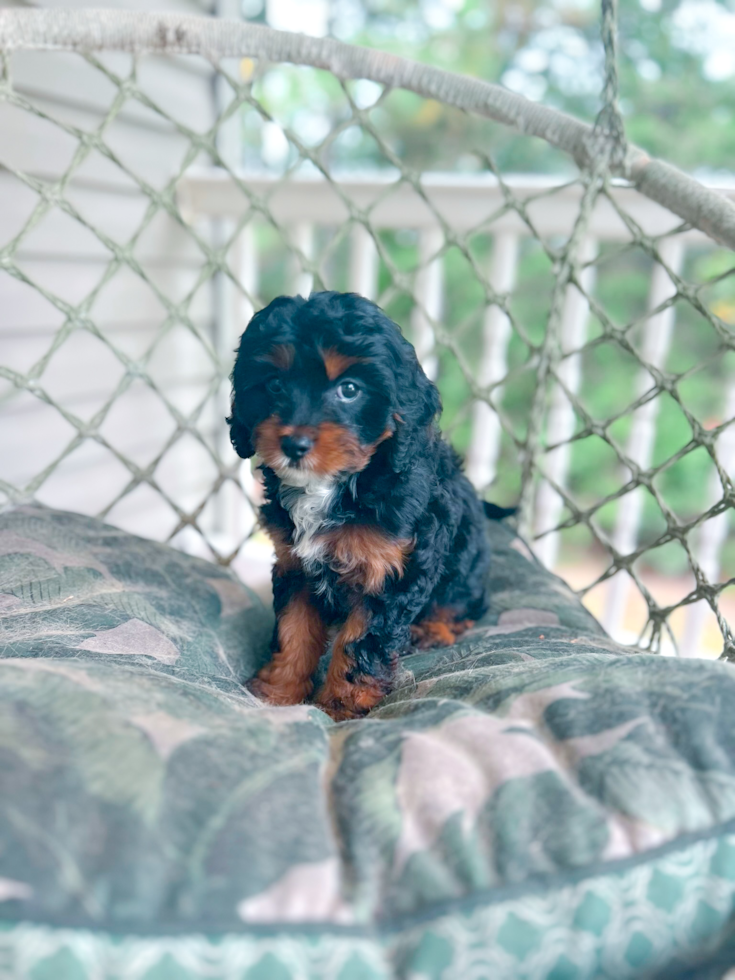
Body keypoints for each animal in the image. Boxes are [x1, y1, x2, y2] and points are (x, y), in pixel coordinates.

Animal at [227, 290, 498, 720]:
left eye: (350, 390)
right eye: (274, 385)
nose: (294, 445)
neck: (337, 485)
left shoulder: (390, 572)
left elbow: (361, 645)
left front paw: (340, 706)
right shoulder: (295, 564)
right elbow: (293, 629)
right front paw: (279, 692)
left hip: (467, 564)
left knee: (464, 606)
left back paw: (433, 628)